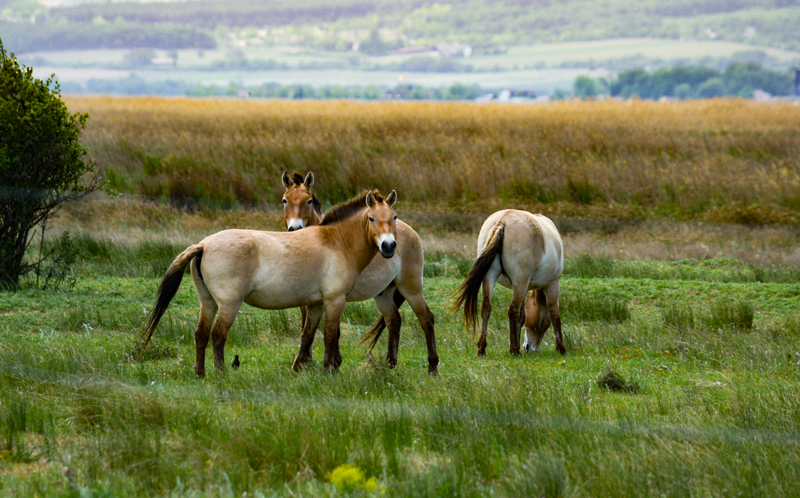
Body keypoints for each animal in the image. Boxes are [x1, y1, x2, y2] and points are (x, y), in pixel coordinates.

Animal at [143, 189, 400, 376]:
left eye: (394, 218)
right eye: (371, 218)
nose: (389, 246)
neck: (336, 241)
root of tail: (204, 244)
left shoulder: (316, 304)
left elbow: (308, 335)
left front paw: (300, 368)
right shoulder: (334, 300)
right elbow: (329, 336)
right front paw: (329, 371)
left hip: (208, 303)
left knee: (201, 334)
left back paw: (200, 373)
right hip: (229, 304)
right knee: (217, 335)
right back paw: (220, 373)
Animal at [282, 171, 440, 374]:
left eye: (309, 201)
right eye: (285, 200)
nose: (295, 229)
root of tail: (412, 232)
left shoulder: (333, 296)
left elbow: (332, 330)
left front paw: (334, 363)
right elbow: (307, 328)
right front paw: (308, 361)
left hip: (411, 288)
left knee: (426, 318)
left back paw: (432, 367)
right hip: (383, 293)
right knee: (394, 320)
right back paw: (390, 364)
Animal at [450, 210, 568, 358]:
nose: (529, 348)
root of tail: (502, 221)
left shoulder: (525, 287)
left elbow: (522, 316)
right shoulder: (552, 283)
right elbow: (554, 314)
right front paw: (561, 348)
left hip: (491, 277)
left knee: (486, 308)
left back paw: (482, 348)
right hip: (520, 281)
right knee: (512, 310)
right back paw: (514, 350)